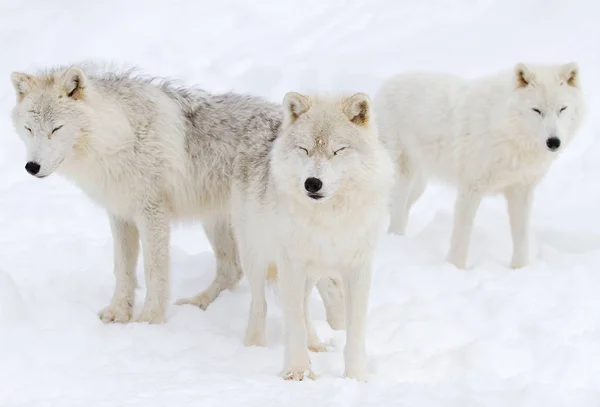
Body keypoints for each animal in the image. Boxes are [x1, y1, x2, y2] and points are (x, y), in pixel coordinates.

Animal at [9, 64, 344, 328]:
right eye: (29, 129)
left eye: (56, 129)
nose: (31, 167)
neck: (116, 139)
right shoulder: (120, 215)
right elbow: (123, 270)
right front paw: (119, 314)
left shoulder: (152, 213)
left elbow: (154, 271)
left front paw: (149, 321)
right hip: (221, 223)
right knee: (232, 270)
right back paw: (198, 303)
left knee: (329, 279)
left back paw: (335, 332)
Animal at [230, 91, 394, 380]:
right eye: (304, 149)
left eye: (338, 150)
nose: (312, 183)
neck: (329, 218)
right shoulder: (291, 263)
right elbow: (293, 323)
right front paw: (297, 371)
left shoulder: (358, 266)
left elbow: (354, 328)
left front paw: (356, 377)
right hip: (257, 256)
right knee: (260, 303)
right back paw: (254, 345)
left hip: (312, 272)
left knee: (303, 305)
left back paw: (315, 344)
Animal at [376, 62, 584, 270]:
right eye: (536, 110)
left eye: (562, 109)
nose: (553, 142)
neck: (505, 131)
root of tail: (385, 85)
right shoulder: (470, 188)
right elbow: (462, 234)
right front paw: (455, 268)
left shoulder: (521, 190)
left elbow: (521, 236)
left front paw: (520, 268)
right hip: (403, 177)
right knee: (396, 214)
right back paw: (397, 243)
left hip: (419, 185)